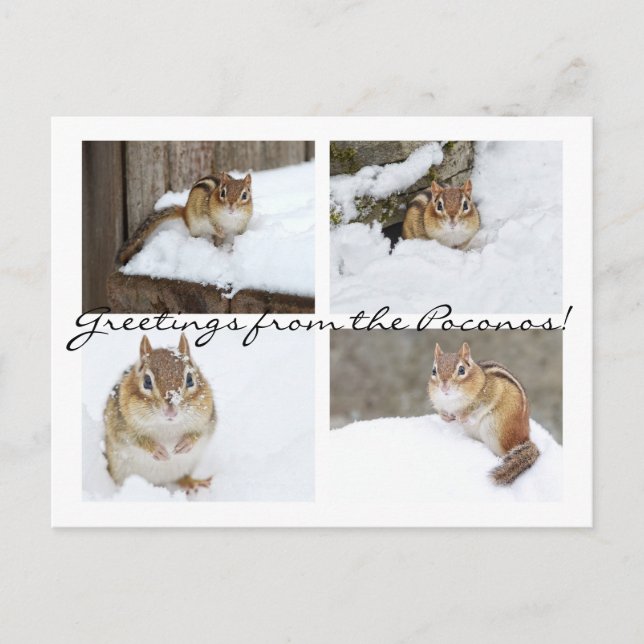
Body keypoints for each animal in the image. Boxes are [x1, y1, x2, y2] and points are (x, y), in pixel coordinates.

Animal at [104, 333, 216, 493]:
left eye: (190, 379)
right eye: (147, 381)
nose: (171, 411)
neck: (167, 427)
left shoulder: (207, 420)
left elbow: (200, 433)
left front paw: (186, 443)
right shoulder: (120, 426)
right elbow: (134, 439)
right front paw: (157, 450)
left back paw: (192, 482)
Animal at [117, 172, 253, 265]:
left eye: (245, 195)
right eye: (222, 193)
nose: (231, 206)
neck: (230, 218)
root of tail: (184, 211)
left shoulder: (242, 225)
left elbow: (239, 236)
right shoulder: (206, 214)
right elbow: (213, 225)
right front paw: (221, 231)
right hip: (194, 227)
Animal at [428, 342, 539, 485]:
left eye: (462, 370)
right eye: (433, 371)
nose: (444, 388)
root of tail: (525, 439)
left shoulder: (491, 392)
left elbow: (475, 409)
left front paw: (463, 417)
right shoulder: (440, 405)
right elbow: (442, 412)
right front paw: (446, 417)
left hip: (495, 430)